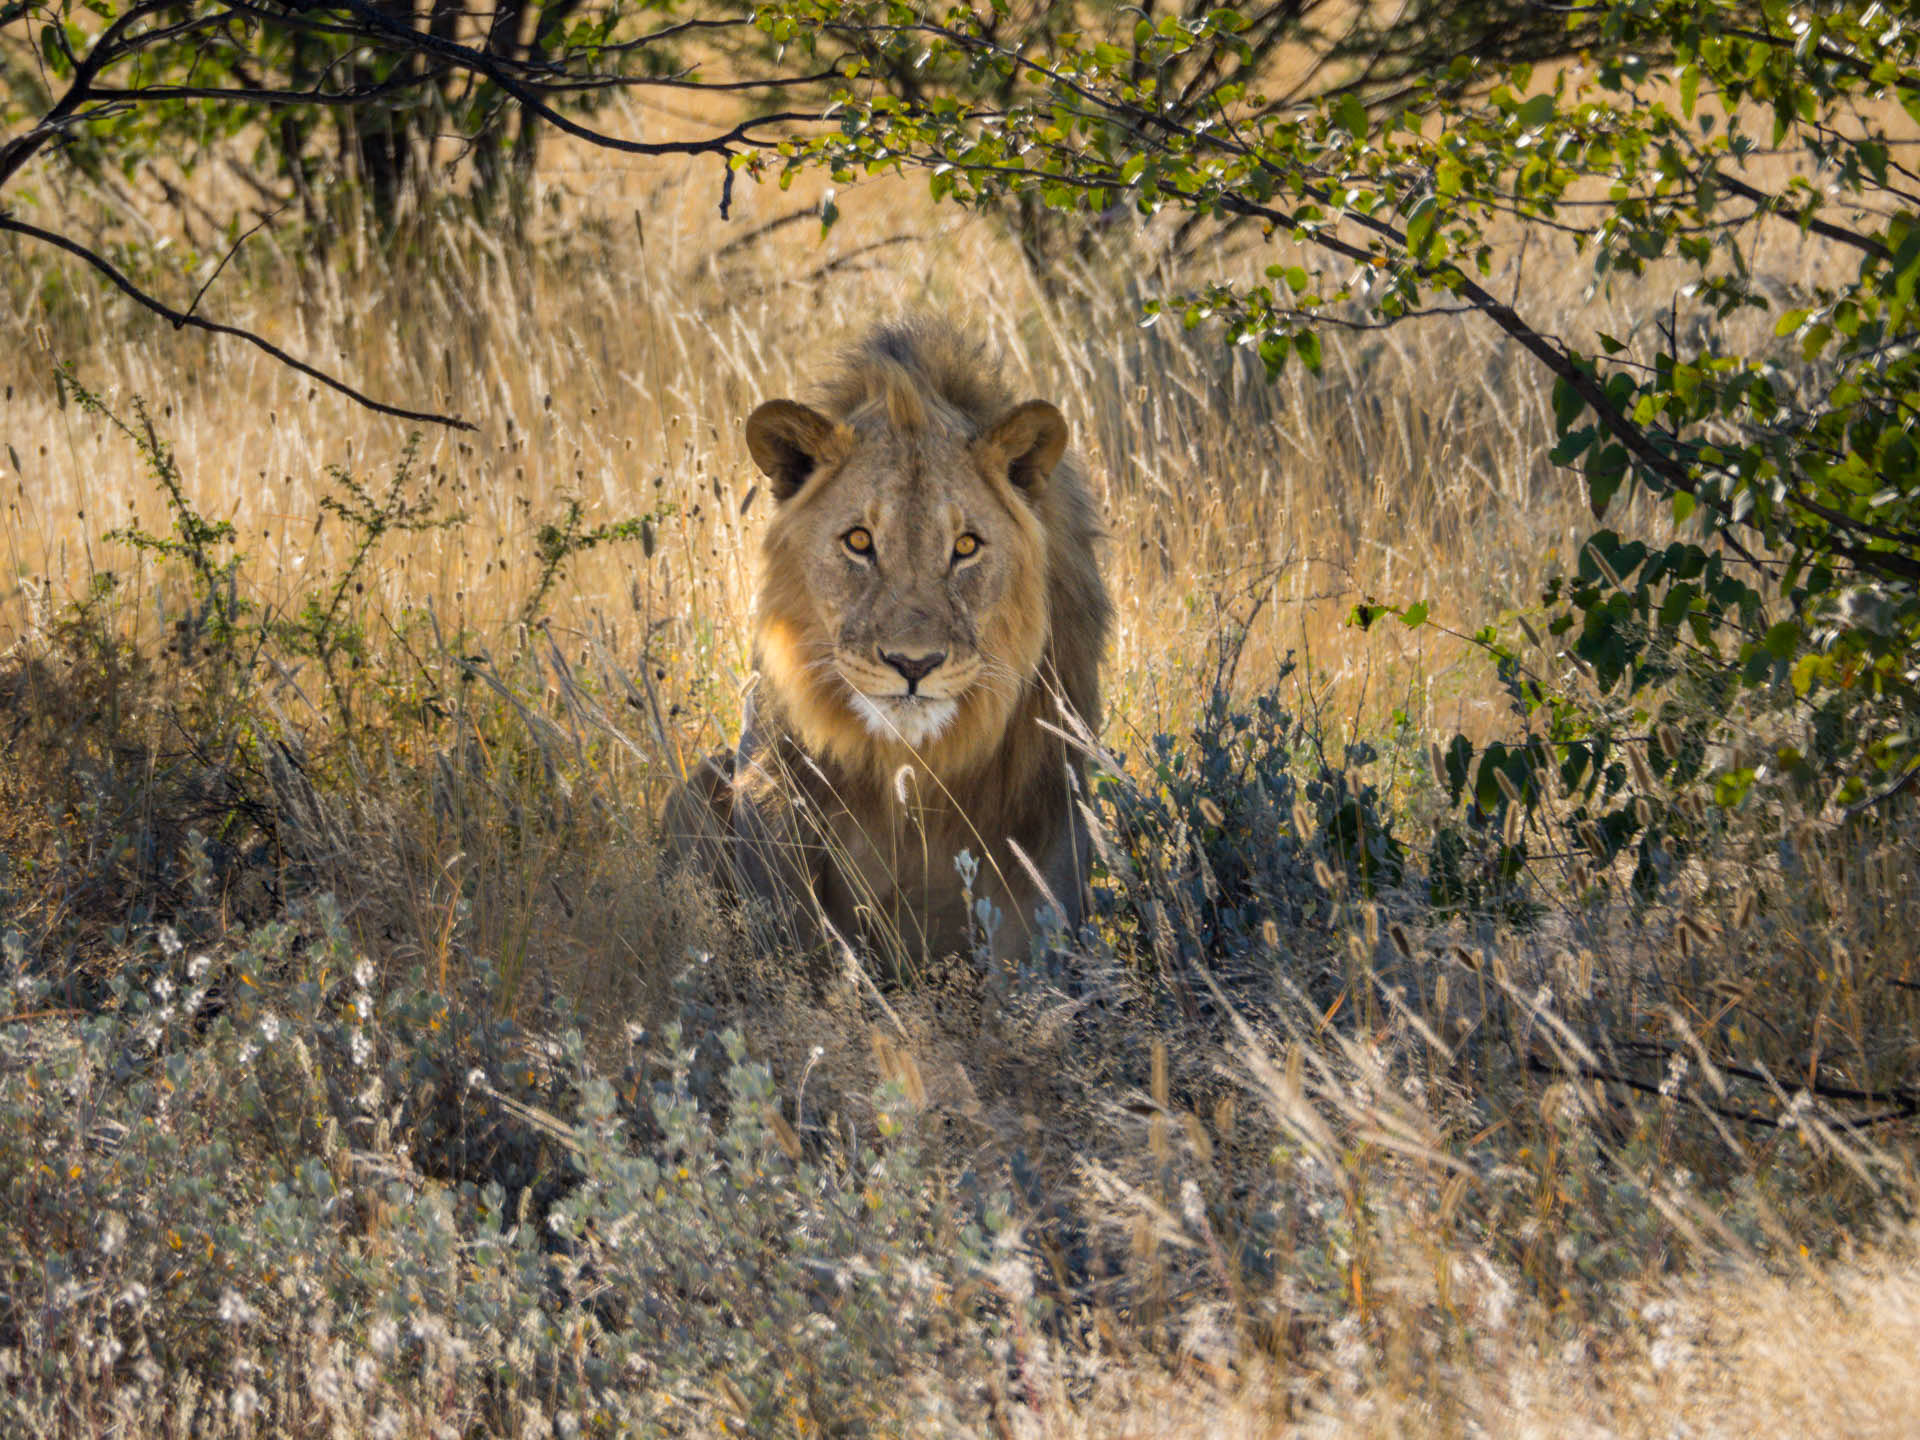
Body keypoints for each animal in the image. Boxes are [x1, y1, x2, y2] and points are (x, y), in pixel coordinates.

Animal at [664, 319, 1111, 973]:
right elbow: (799, 950)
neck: (913, 766)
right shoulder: (775, 811)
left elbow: (1028, 960)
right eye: (858, 541)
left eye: (967, 546)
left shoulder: (1049, 813)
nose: (913, 664)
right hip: (695, 786)